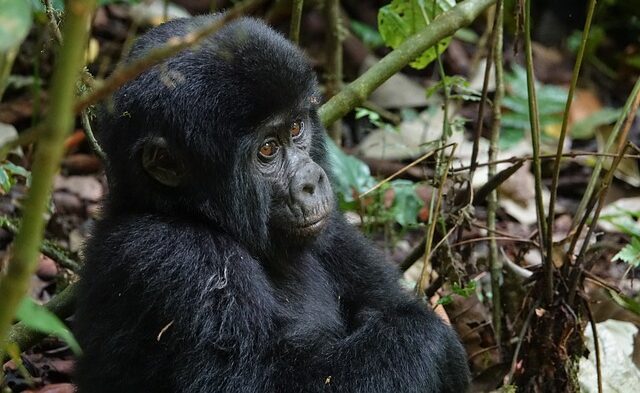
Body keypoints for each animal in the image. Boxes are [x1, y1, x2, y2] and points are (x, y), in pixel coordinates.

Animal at [75, 15, 470, 392]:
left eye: (296, 128)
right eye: (267, 149)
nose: (312, 181)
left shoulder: (334, 229)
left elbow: (389, 301)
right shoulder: (172, 255)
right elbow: (261, 382)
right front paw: (433, 340)